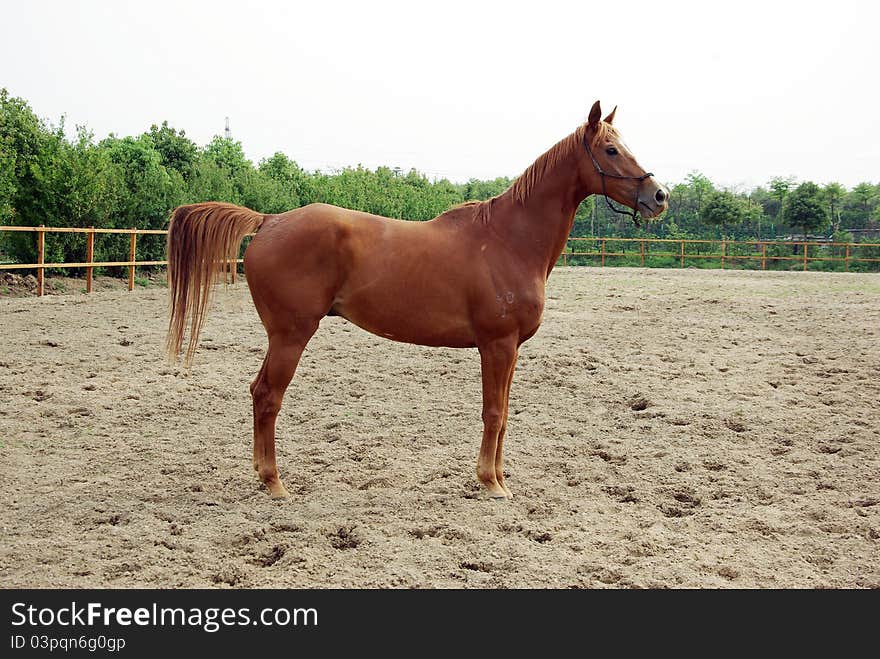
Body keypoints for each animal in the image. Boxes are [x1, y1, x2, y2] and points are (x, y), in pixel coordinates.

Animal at [165, 100, 668, 498]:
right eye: (610, 150)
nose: (658, 195)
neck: (509, 239)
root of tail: (270, 221)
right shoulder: (497, 344)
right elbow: (493, 413)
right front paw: (490, 483)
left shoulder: (510, 349)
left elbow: (504, 415)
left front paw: (500, 478)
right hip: (290, 335)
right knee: (268, 396)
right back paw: (274, 484)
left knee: (259, 393)